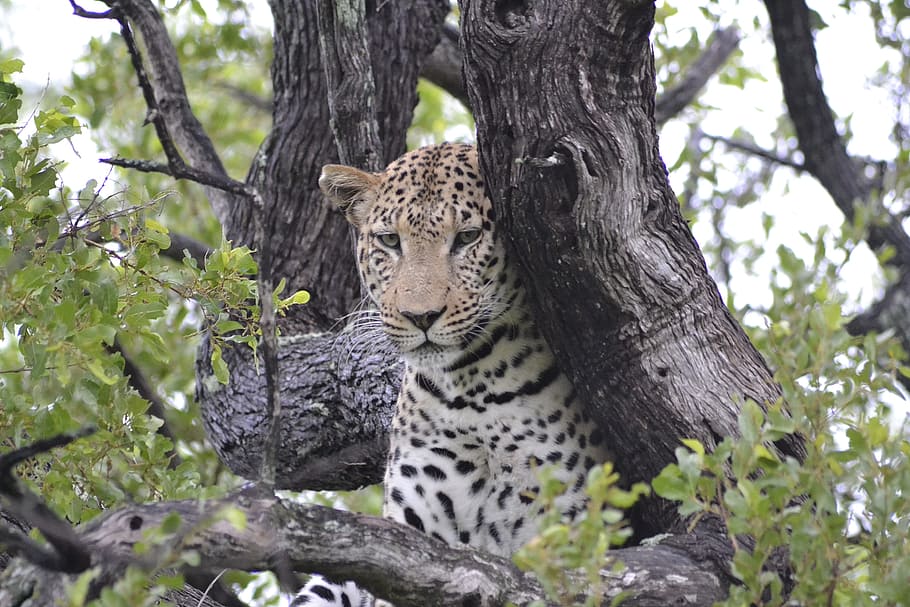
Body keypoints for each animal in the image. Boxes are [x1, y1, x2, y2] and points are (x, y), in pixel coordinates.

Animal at [293, 142, 611, 606]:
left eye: (467, 237)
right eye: (390, 241)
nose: (420, 316)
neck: (474, 390)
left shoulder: (564, 532)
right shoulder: (413, 537)